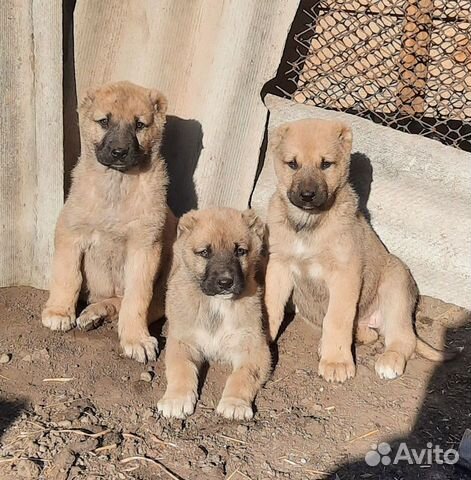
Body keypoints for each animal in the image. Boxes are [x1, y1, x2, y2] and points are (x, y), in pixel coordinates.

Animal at [158, 208, 272, 418]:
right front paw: (176, 399)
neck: (216, 305)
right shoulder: (183, 342)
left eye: (240, 251)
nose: (225, 282)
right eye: (205, 252)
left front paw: (235, 404)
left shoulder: (254, 347)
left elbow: (242, 375)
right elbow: (181, 368)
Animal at [266, 119, 454, 382]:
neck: (308, 224)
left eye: (326, 164)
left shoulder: (344, 274)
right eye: (292, 164)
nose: (307, 195)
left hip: (395, 289)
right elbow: (271, 307)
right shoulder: (279, 266)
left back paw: (389, 360)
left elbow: (337, 319)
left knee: (402, 338)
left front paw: (336, 362)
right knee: (371, 335)